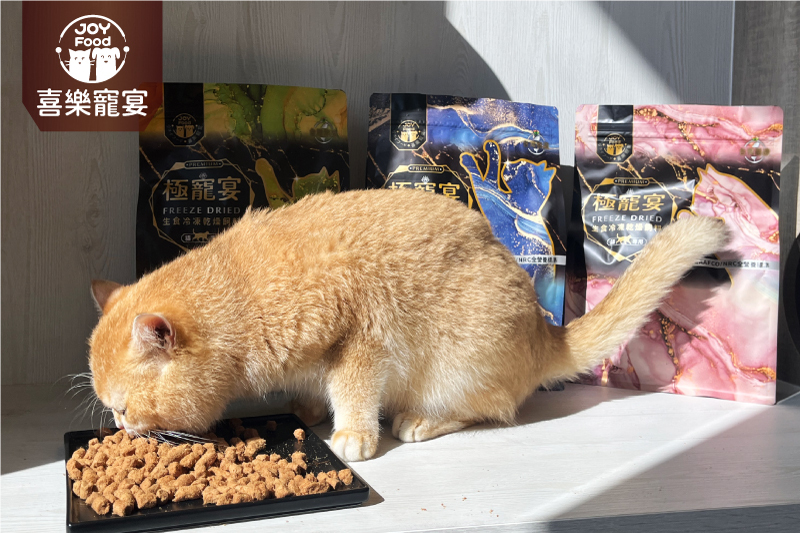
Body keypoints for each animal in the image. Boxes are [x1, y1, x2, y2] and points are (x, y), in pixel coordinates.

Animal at [88, 188, 728, 461]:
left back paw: (418, 421)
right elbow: (314, 391)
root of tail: (547, 332)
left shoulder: (361, 343)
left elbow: (353, 394)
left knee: (487, 409)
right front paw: (308, 410)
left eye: (122, 406)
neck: (241, 291)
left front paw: (352, 436)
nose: (119, 427)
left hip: (455, 370)